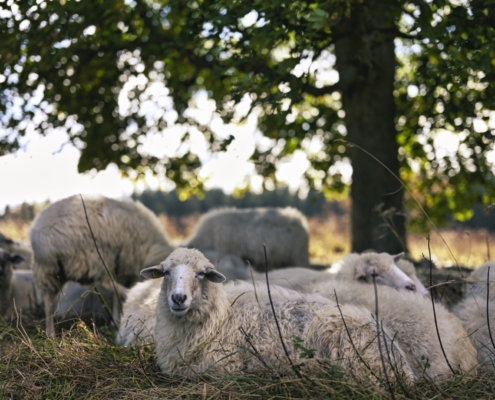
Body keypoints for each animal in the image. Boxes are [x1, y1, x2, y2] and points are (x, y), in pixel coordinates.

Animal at [29, 195, 176, 336]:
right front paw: (117, 319)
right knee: (109, 283)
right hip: (99, 257)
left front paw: (116, 320)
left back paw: (50, 334)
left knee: (48, 301)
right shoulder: (124, 264)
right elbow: (115, 292)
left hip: (50, 271)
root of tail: (42, 237)